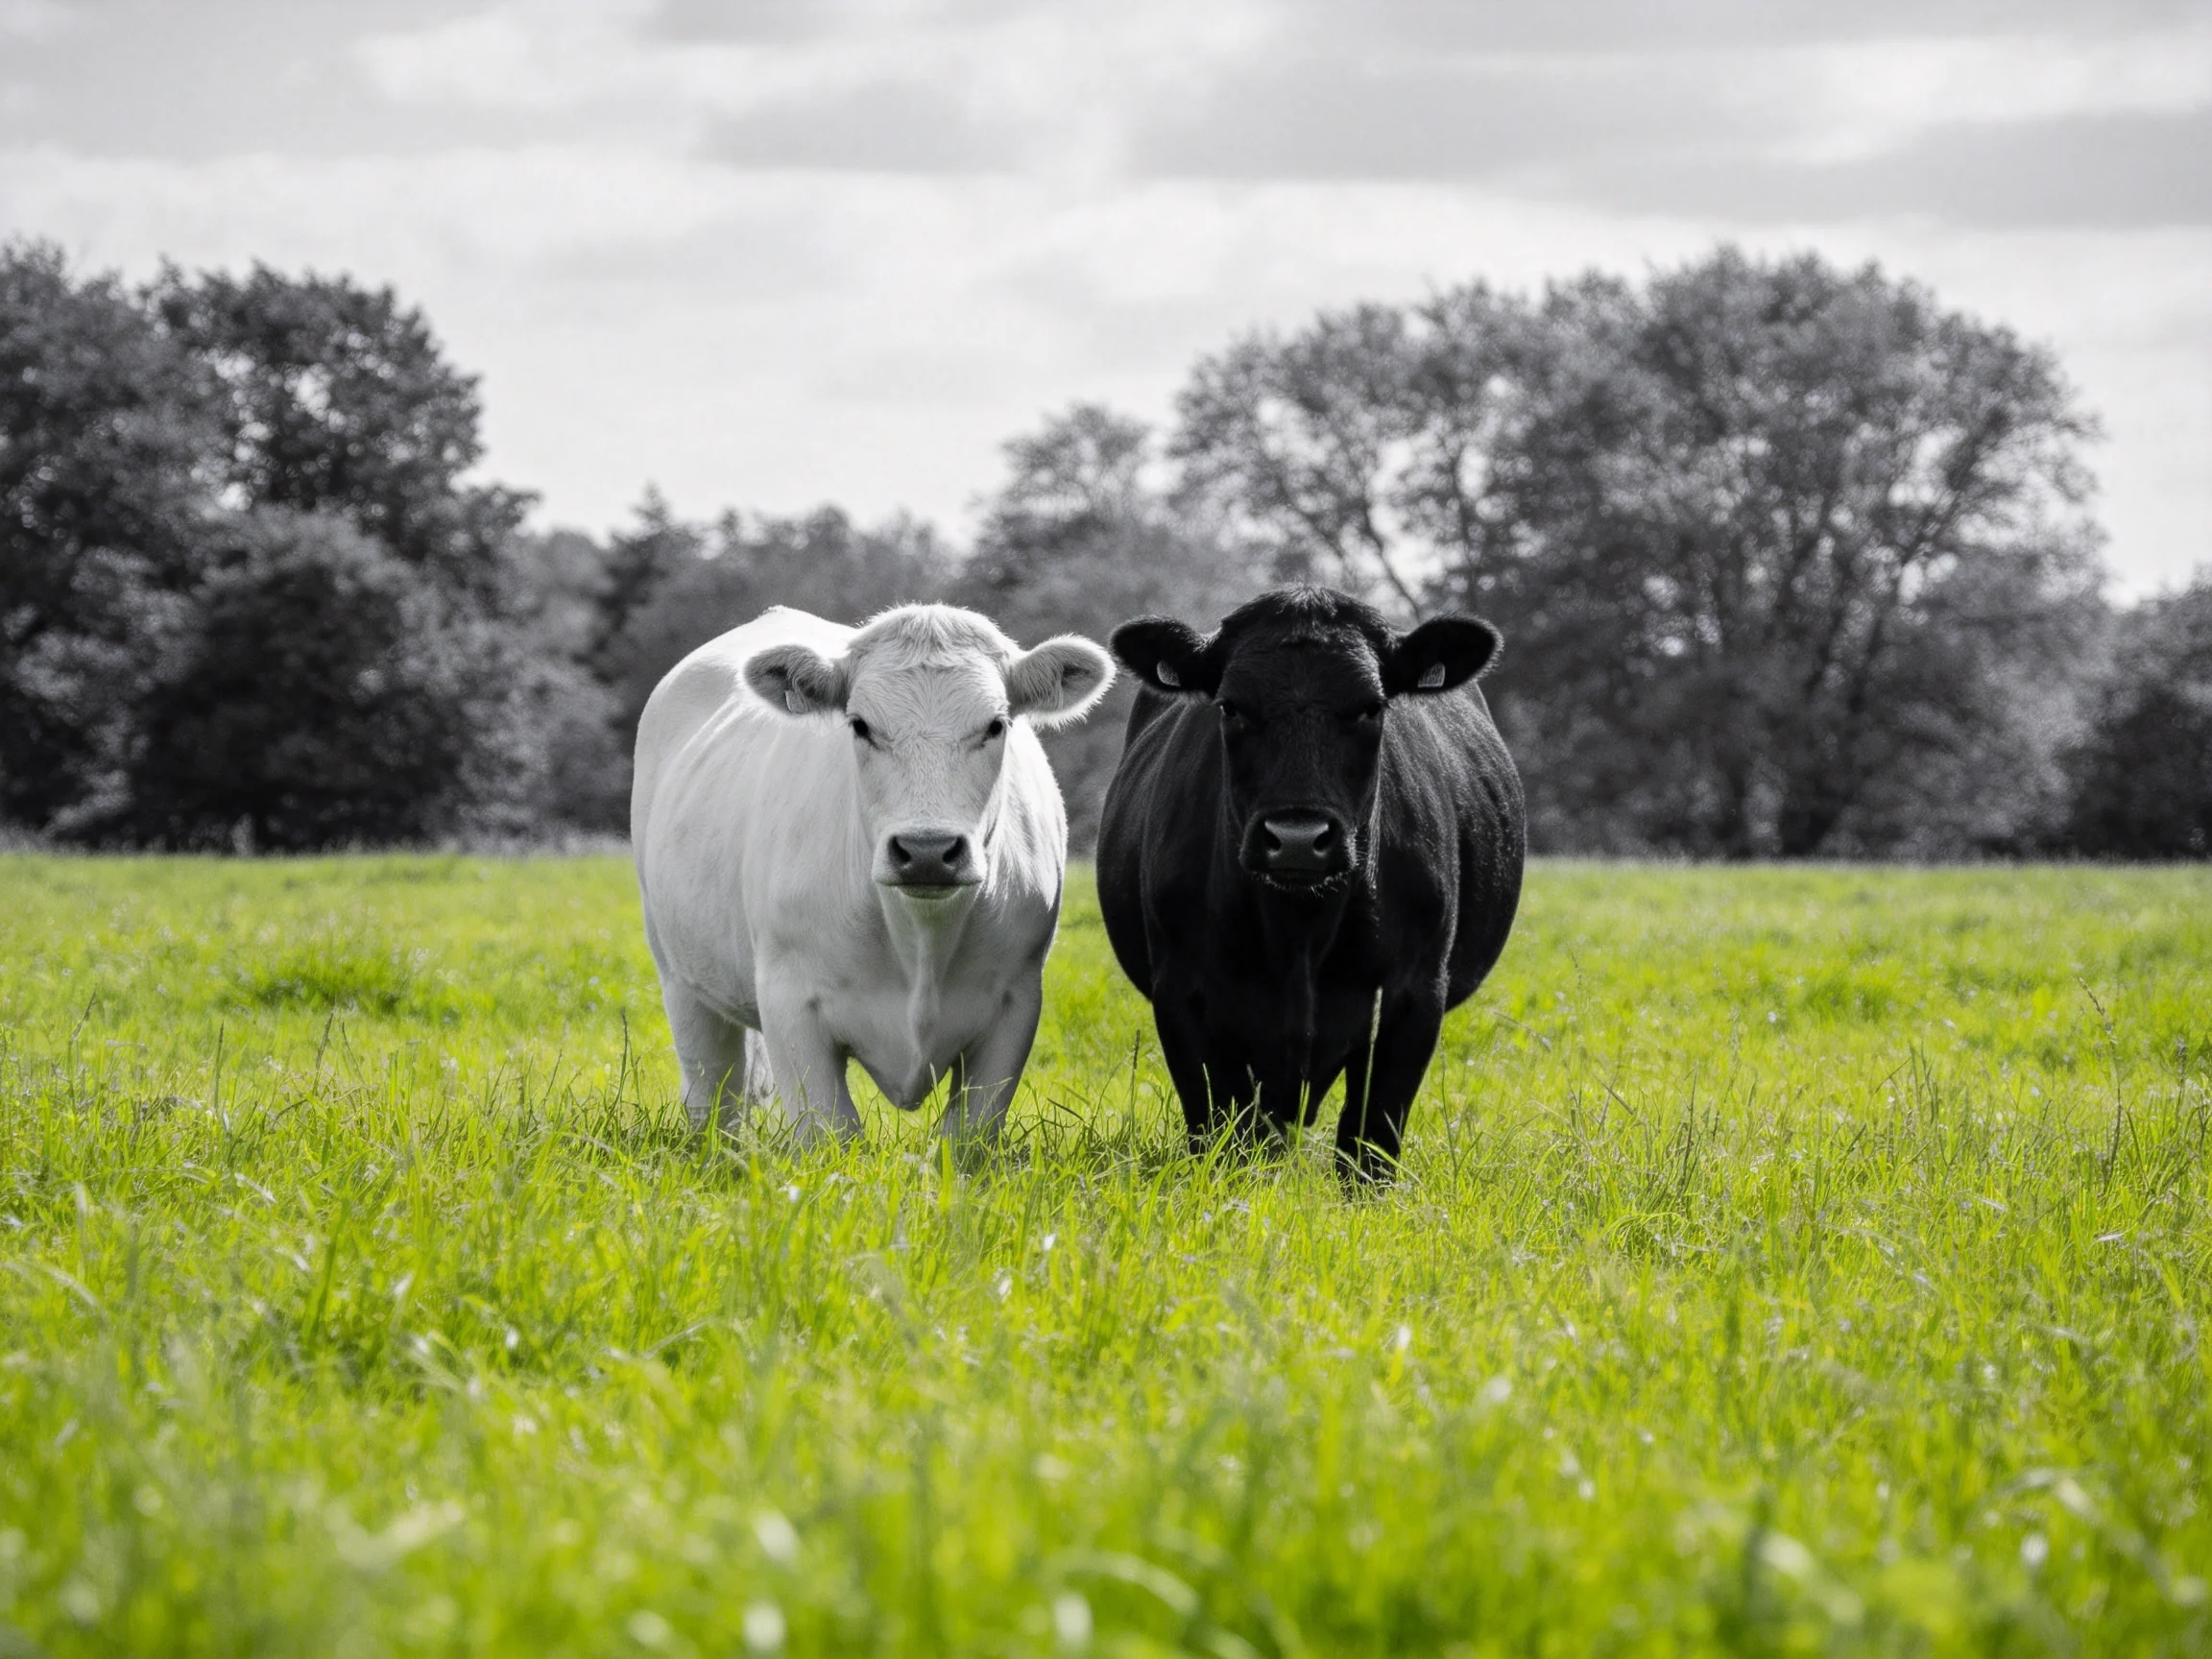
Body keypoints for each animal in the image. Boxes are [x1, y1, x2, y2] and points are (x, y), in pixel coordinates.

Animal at [632, 604, 1114, 1144]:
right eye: (860, 725)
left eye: (996, 725)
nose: (927, 851)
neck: (919, 940)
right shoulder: (791, 1006)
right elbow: (829, 1132)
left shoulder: (1015, 1005)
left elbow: (967, 1136)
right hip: (680, 978)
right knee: (715, 1096)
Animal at [1096, 586, 1524, 1183]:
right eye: (1230, 706)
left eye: (1372, 707)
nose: (1297, 839)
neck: (1299, 932)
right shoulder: (1180, 991)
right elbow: (1224, 1134)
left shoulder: (1416, 990)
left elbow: (1369, 1145)